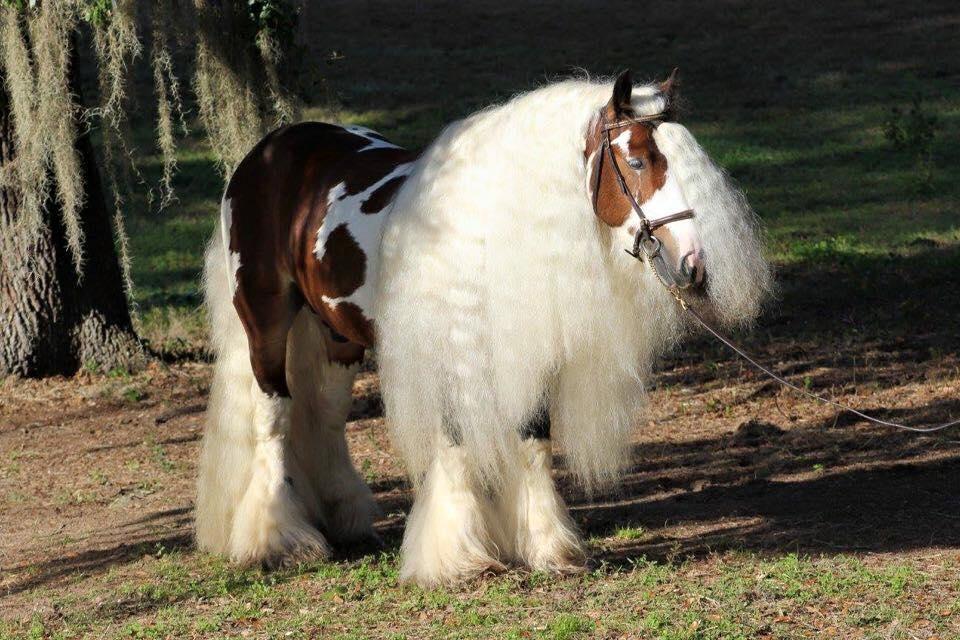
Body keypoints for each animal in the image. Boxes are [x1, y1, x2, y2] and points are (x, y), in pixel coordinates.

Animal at [195, 70, 772, 584]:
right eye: (635, 158)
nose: (693, 265)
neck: (491, 233)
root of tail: (267, 153)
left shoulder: (527, 356)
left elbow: (532, 438)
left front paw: (548, 548)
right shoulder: (453, 353)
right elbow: (454, 443)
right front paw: (459, 559)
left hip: (336, 335)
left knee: (326, 417)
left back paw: (345, 521)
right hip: (265, 322)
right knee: (273, 416)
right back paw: (277, 542)